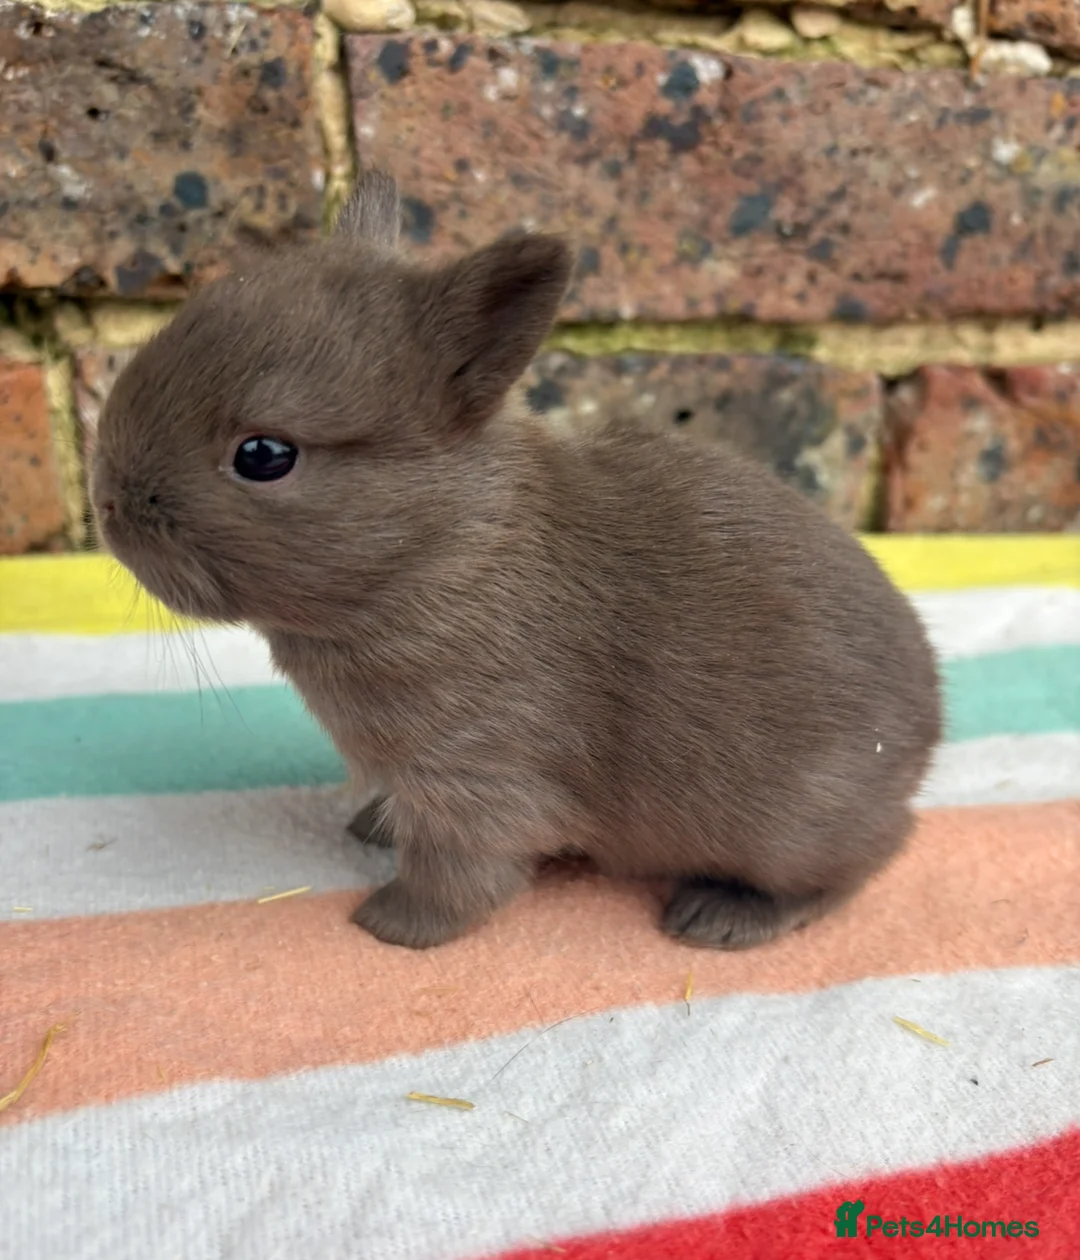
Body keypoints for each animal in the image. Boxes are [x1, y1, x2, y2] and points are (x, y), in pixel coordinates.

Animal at [91, 169, 942, 952]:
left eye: (264, 456)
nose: (107, 503)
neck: (442, 556)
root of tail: (926, 739)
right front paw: (371, 826)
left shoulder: (477, 777)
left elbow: (460, 875)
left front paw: (391, 926)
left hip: (794, 830)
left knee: (857, 868)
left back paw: (720, 916)